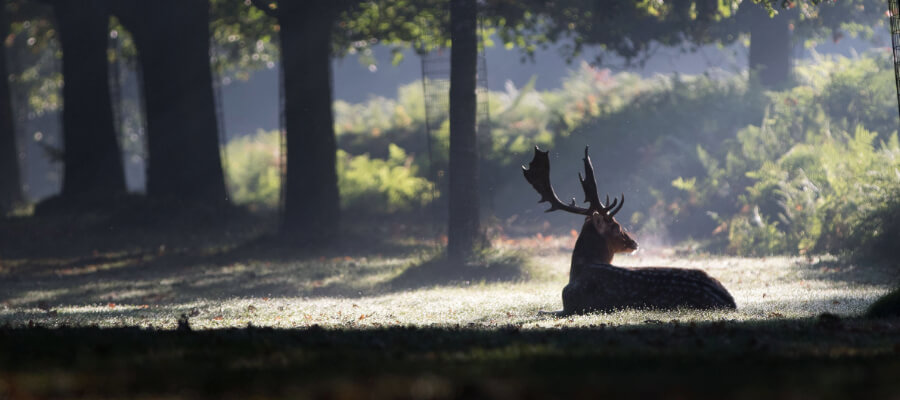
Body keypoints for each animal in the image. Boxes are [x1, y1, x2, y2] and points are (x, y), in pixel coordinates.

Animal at [520, 145, 740, 314]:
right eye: (616, 227)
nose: (634, 242)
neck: (578, 270)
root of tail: (729, 301)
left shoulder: (571, 306)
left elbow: (543, 311)